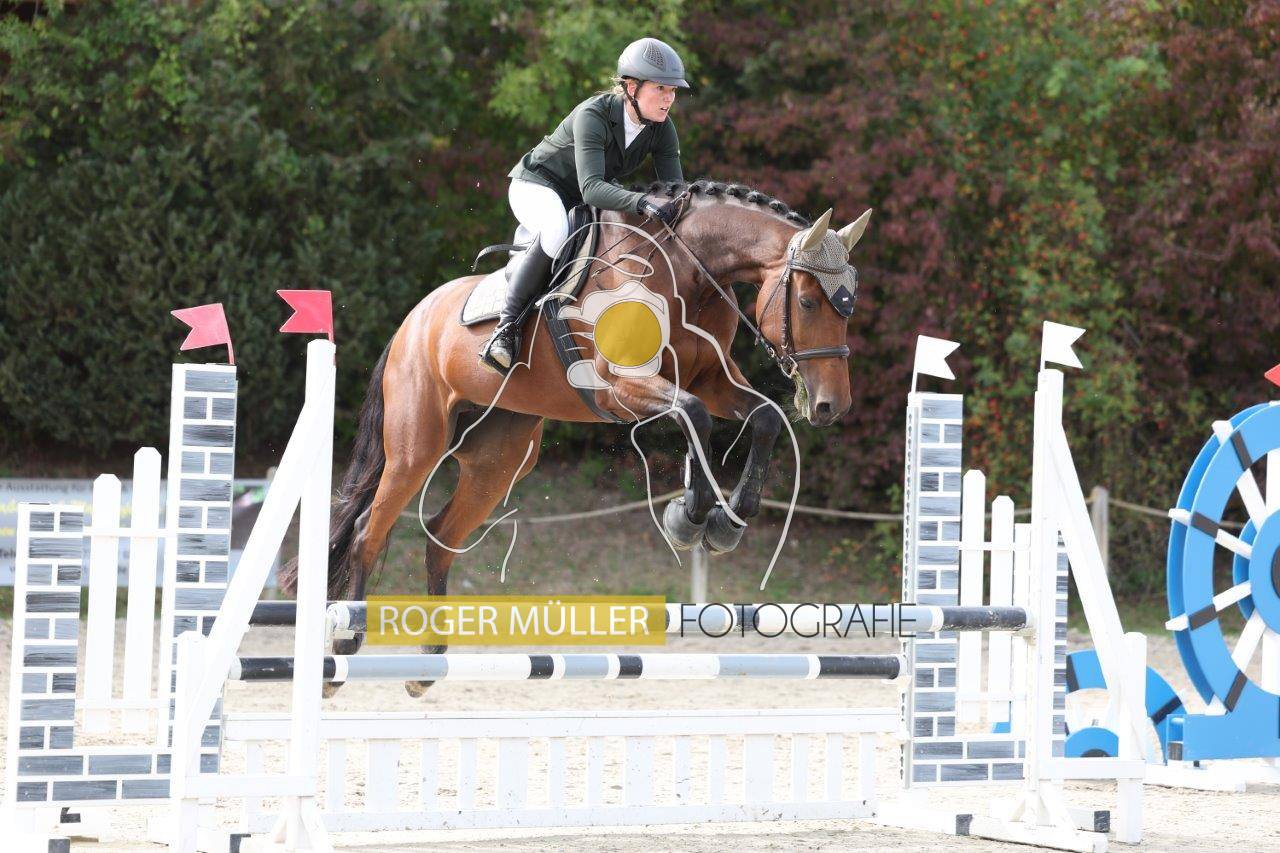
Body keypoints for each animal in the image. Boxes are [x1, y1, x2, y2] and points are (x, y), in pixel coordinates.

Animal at [279, 179, 871, 696]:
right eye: (810, 303)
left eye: (849, 306)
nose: (830, 406)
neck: (687, 273)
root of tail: (413, 321)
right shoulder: (620, 387)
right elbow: (695, 416)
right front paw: (690, 517)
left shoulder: (713, 380)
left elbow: (762, 418)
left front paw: (725, 521)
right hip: (415, 447)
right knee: (367, 531)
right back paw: (344, 646)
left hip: (501, 459)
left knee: (439, 535)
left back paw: (428, 664)